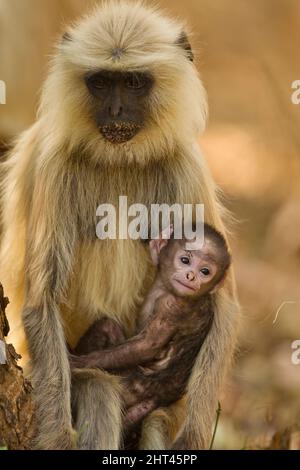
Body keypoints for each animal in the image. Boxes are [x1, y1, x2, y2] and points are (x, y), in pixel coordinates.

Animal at [69, 224, 230, 436]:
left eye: (205, 271)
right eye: (185, 260)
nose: (191, 276)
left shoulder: (171, 306)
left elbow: (147, 346)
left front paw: (75, 361)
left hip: (128, 385)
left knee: (105, 327)